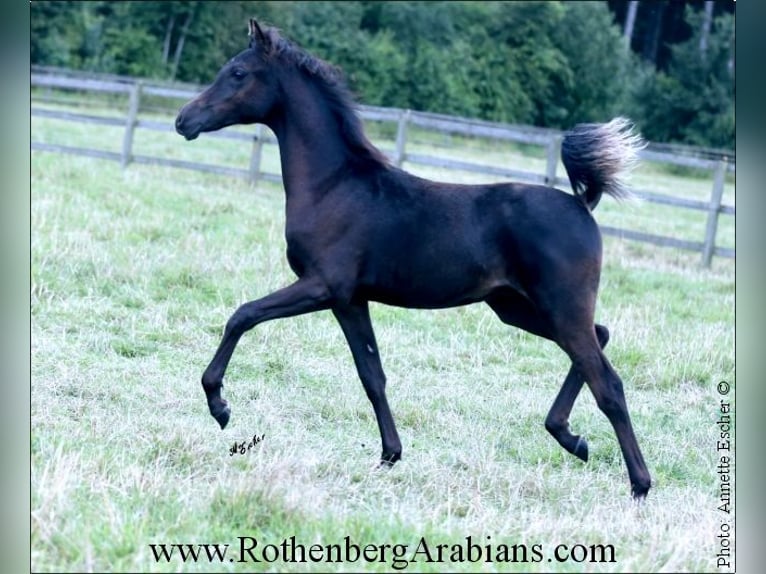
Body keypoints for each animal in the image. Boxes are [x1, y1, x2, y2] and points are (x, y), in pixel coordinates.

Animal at [176, 19, 656, 500]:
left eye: (238, 73)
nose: (184, 120)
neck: (333, 185)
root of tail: (582, 205)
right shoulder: (350, 301)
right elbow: (372, 375)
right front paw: (390, 454)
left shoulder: (323, 285)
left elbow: (242, 315)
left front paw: (219, 405)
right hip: (516, 307)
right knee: (601, 336)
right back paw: (571, 438)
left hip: (559, 308)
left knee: (608, 383)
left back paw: (639, 484)